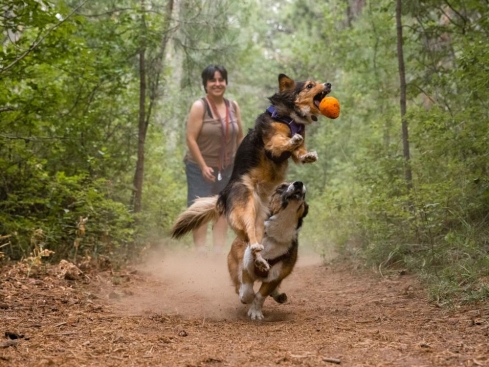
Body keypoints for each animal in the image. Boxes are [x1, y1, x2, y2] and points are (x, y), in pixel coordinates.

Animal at [171, 73, 328, 272]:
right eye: (309, 85)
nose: (329, 84)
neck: (289, 117)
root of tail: (223, 193)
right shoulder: (272, 144)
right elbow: (282, 141)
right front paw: (292, 140)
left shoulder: (295, 152)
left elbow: (300, 153)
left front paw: (309, 155)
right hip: (246, 207)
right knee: (249, 232)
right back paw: (255, 248)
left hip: (262, 221)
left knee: (251, 238)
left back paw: (260, 260)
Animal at [227, 183, 306, 320]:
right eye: (281, 187)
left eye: (305, 194)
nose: (299, 183)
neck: (275, 235)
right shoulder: (247, 268)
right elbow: (248, 292)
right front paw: (247, 299)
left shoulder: (276, 276)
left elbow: (260, 296)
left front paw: (255, 312)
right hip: (235, 266)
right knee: (238, 286)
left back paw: (278, 295)